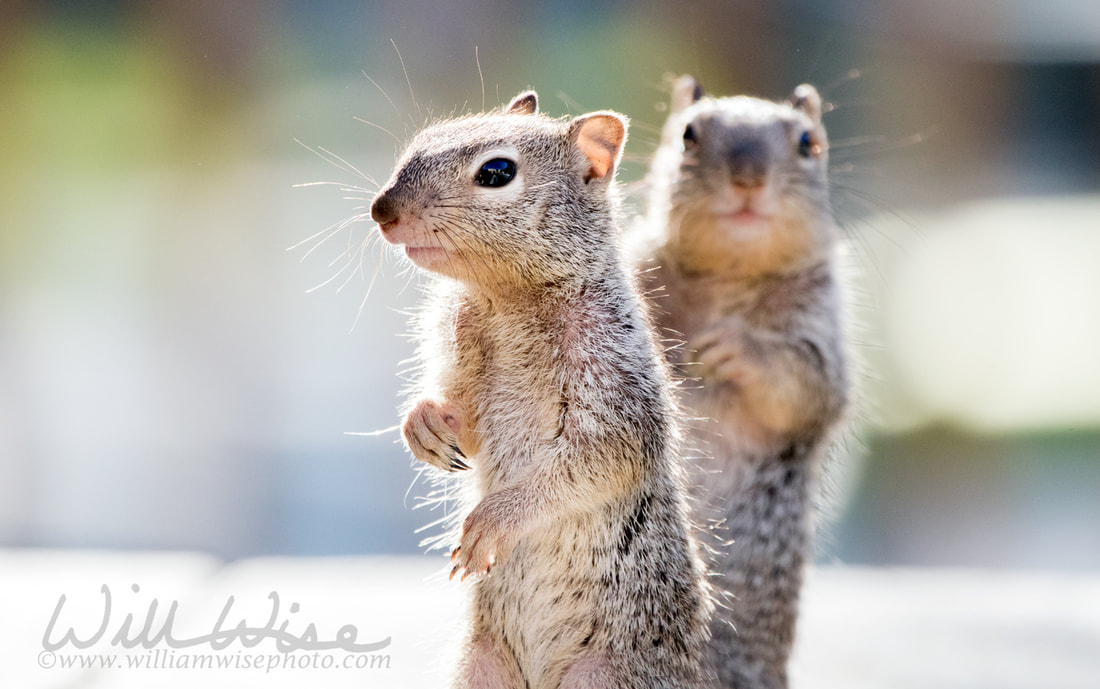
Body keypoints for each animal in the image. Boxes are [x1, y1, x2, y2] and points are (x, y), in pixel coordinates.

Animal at [371, 91, 712, 686]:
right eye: (419, 143)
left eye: (497, 172)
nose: (381, 211)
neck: (505, 300)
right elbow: (464, 425)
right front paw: (424, 424)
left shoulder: (615, 385)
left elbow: (594, 462)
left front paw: (493, 522)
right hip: (481, 666)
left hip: (605, 676)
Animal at [629, 74, 849, 686]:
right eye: (687, 135)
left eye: (809, 143)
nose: (749, 177)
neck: (730, 276)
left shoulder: (822, 336)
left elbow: (805, 389)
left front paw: (732, 346)